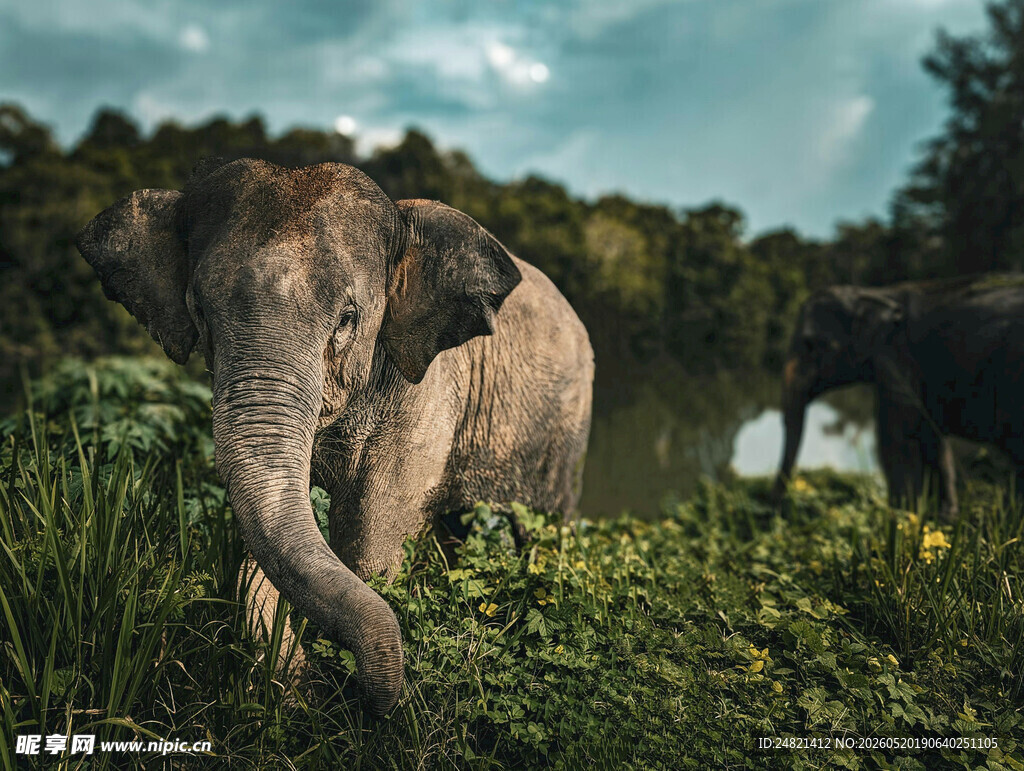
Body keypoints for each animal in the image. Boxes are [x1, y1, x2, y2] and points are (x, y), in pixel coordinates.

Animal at [76, 157, 594, 714]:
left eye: (348, 319)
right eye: (199, 313)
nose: (343, 694)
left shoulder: (428, 393)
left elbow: (371, 550)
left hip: (568, 426)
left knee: (542, 526)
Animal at [773, 277, 1024, 519]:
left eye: (810, 344)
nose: (779, 513)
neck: (875, 293)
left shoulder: (897, 361)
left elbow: (896, 439)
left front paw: (900, 519)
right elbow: (931, 438)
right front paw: (942, 519)